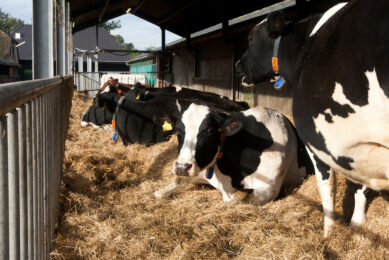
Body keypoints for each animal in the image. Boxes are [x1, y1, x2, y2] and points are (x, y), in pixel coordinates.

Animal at [233, 0, 388, 236]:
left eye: (251, 38)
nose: (237, 65)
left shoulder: (319, 142)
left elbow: (328, 187)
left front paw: (329, 233)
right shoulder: (361, 144)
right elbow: (361, 186)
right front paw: (357, 226)